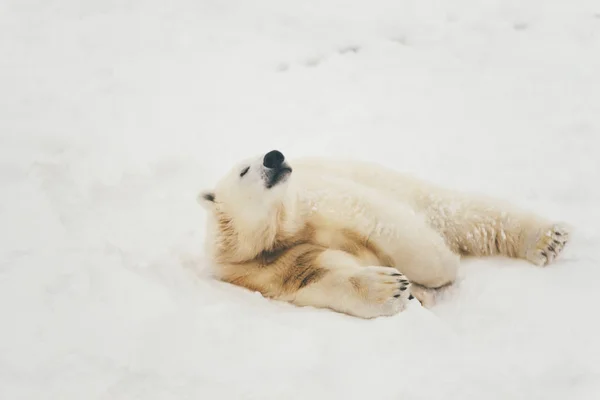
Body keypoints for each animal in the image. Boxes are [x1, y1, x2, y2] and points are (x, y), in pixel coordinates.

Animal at [199, 150, 568, 318]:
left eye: (262, 155)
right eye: (244, 170)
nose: (274, 156)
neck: (275, 231)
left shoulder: (316, 200)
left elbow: (379, 219)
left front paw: (438, 272)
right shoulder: (257, 269)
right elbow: (314, 279)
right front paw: (395, 289)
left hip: (389, 181)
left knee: (459, 211)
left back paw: (547, 238)